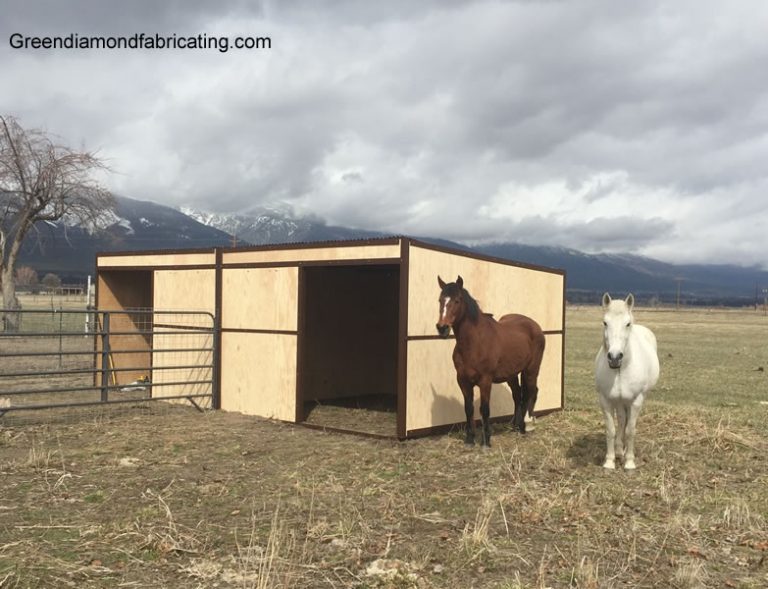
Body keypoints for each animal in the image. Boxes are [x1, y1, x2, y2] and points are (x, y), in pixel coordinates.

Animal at [438, 276, 544, 446]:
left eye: (457, 300)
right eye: (440, 300)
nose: (442, 328)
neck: (474, 343)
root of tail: (535, 326)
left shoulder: (485, 380)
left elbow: (485, 409)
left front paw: (486, 441)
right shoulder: (463, 380)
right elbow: (468, 408)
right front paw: (470, 439)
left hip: (531, 370)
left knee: (532, 392)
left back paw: (526, 426)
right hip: (511, 374)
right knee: (517, 395)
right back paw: (515, 426)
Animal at [592, 292, 660, 468]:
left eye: (628, 324)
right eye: (605, 322)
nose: (615, 357)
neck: (621, 370)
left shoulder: (636, 400)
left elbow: (630, 431)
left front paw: (629, 462)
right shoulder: (606, 399)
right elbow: (611, 429)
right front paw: (609, 461)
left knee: (626, 422)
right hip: (619, 400)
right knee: (622, 420)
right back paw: (618, 451)